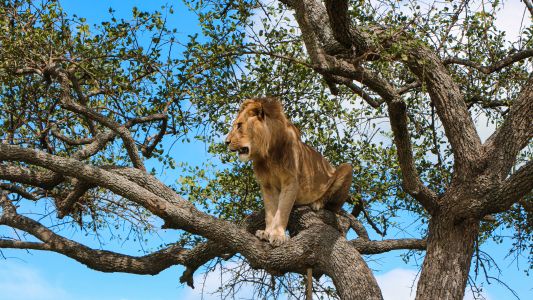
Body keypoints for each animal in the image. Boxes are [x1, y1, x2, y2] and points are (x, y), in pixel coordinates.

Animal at [224, 98, 354, 246]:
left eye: (239, 125)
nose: (226, 142)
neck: (267, 155)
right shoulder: (267, 185)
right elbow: (270, 212)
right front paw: (266, 233)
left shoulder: (291, 181)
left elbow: (283, 211)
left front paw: (277, 235)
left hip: (346, 168)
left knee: (333, 206)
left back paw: (317, 203)